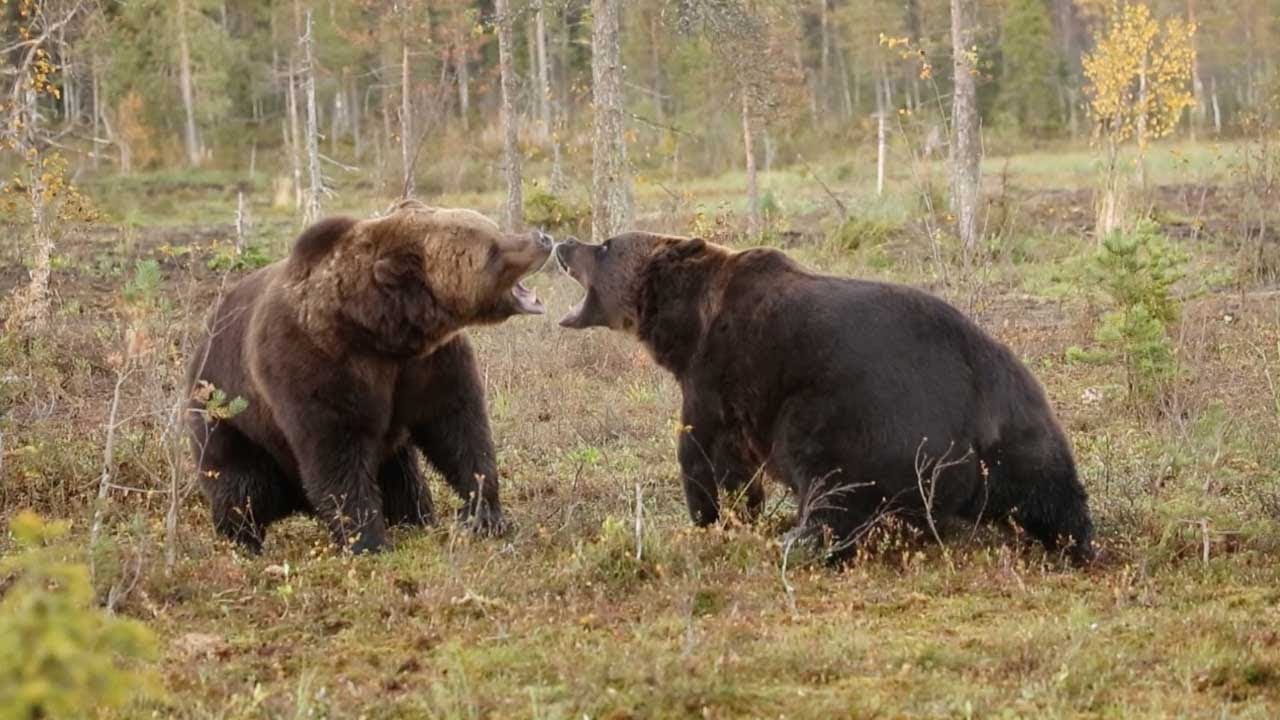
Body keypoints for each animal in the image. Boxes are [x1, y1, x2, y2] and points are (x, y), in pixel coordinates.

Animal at [186, 198, 552, 550]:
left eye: (493, 227)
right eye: (492, 248)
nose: (543, 239)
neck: (379, 330)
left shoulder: (427, 364)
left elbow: (459, 428)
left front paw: (486, 516)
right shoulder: (315, 364)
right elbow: (336, 455)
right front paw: (368, 542)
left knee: (402, 478)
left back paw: (415, 518)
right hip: (226, 417)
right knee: (244, 486)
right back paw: (243, 540)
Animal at [555, 233, 1095, 563]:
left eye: (604, 245)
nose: (563, 242)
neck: (686, 327)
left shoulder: (717, 376)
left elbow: (708, 456)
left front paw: (714, 517)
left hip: (854, 414)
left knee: (833, 483)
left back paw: (800, 537)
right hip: (1021, 418)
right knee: (1049, 490)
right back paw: (1075, 543)